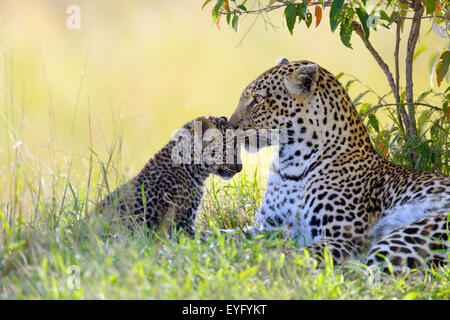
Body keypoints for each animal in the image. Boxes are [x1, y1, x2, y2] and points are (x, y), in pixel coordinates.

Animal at [230, 58, 448, 272]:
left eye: (258, 100)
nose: (230, 126)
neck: (291, 164)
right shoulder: (266, 227)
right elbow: (228, 234)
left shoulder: (342, 238)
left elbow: (291, 256)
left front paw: (250, 265)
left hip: (402, 238)